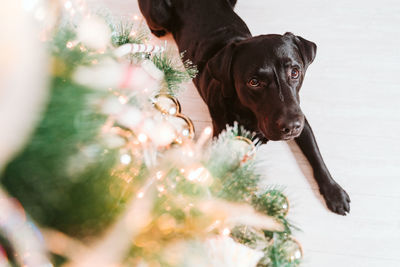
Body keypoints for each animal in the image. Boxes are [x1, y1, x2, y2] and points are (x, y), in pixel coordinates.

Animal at [139, 0, 352, 215]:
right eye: (254, 82)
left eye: (294, 72)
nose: (291, 126)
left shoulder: (302, 119)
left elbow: (316, 155)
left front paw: (334, 191)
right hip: (158, 14)